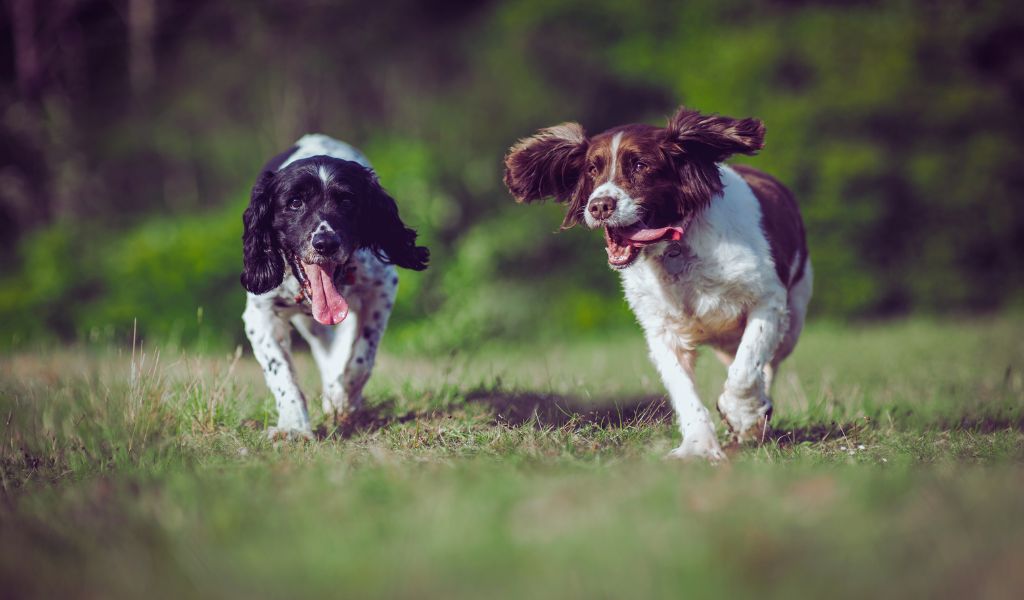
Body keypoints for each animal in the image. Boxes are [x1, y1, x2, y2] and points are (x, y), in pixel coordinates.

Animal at [239, 133, 428, 436]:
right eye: (295, 202)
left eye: (347, 201)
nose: (325, 243)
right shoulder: (260, 314)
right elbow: (280, 372)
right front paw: (294, 426)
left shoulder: (382, 289)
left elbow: (362, 358)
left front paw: (343, 398)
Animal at [501, 104, 806, 458]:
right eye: (592, 169)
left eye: (640, 165)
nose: (599, 206)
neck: (676, 248)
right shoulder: (662, 330)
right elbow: (684, 391)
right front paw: (697, 447)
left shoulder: (768, 300)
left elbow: (747, 366)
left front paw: (742, 415)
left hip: (793, 320)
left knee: (767, 363)